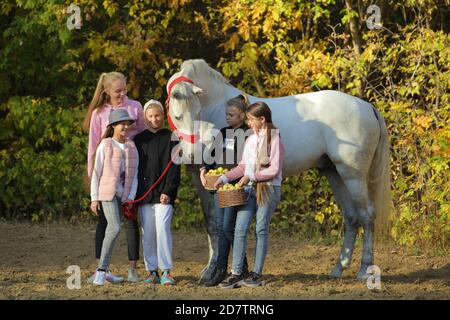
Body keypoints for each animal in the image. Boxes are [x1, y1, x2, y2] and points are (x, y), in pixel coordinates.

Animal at [165, 58, 390, 282]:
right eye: (177, 116)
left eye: (197, 112)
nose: (192, 154)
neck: (215, 109)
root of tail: (367, 107)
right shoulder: (199, 177)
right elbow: (211, 224)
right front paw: (210, 271)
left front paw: (214, 272)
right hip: (335, 173)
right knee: (351, 216)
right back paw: (338, 268)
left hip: (353, 176)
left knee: (367, 216)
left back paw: (365, 269)